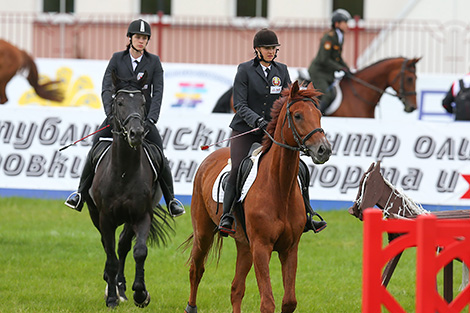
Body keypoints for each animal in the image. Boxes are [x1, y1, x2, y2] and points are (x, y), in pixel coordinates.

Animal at [84, 72, 173, 308]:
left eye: (142, 103)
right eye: (120, 102)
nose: (136, 133)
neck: (123, 172)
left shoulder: (141, 215)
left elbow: (139, 251)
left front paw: (140, 293)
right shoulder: (105, 218)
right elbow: (110, 255)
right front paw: (111, 298)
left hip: (128, 219)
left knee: (123, 246)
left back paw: (122, 287)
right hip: (96, 215)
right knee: (109, 247)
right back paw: (112, 285)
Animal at [185, 81, 332, 312]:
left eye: (318, 114)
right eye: (298, 115)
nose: (323, 150)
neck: (279, 187)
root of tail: (209, 158)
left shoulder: (290, 248)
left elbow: (289, 301)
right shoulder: (261, 248)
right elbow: (267, 303)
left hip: (245, 245)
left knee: (236, 288)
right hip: (204, 232)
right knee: (196, 270)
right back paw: (191, 307)